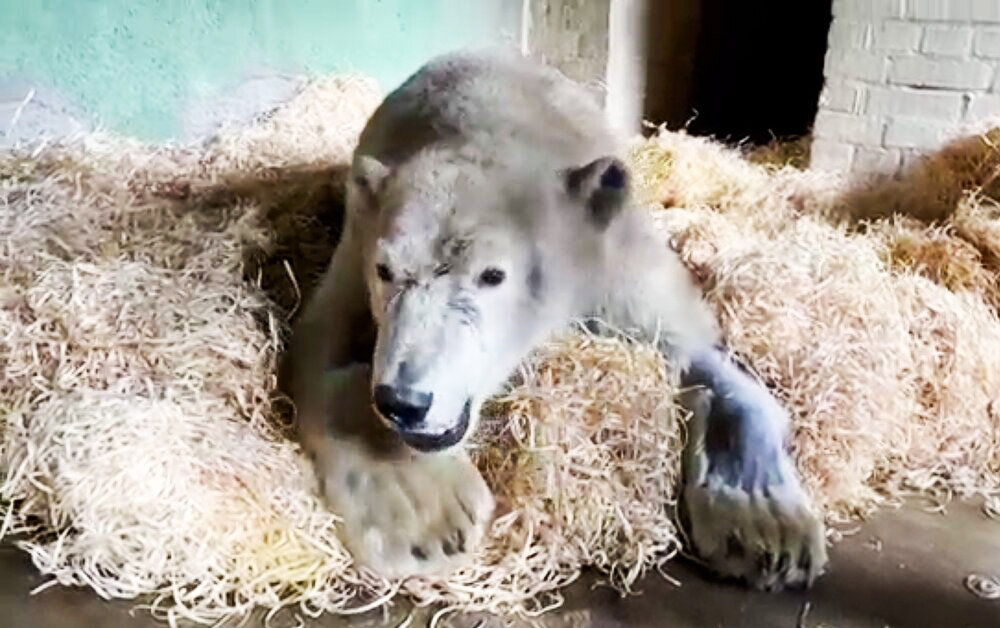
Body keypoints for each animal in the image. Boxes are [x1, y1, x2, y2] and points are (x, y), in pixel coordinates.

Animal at [278, 51, 824, 592]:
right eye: (385, 270)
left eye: (493, 275)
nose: (405, 402)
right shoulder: (358, 248)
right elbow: (320, 345)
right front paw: (428, 520)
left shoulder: (609, 263)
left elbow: (694, 350)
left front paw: (767, 525)